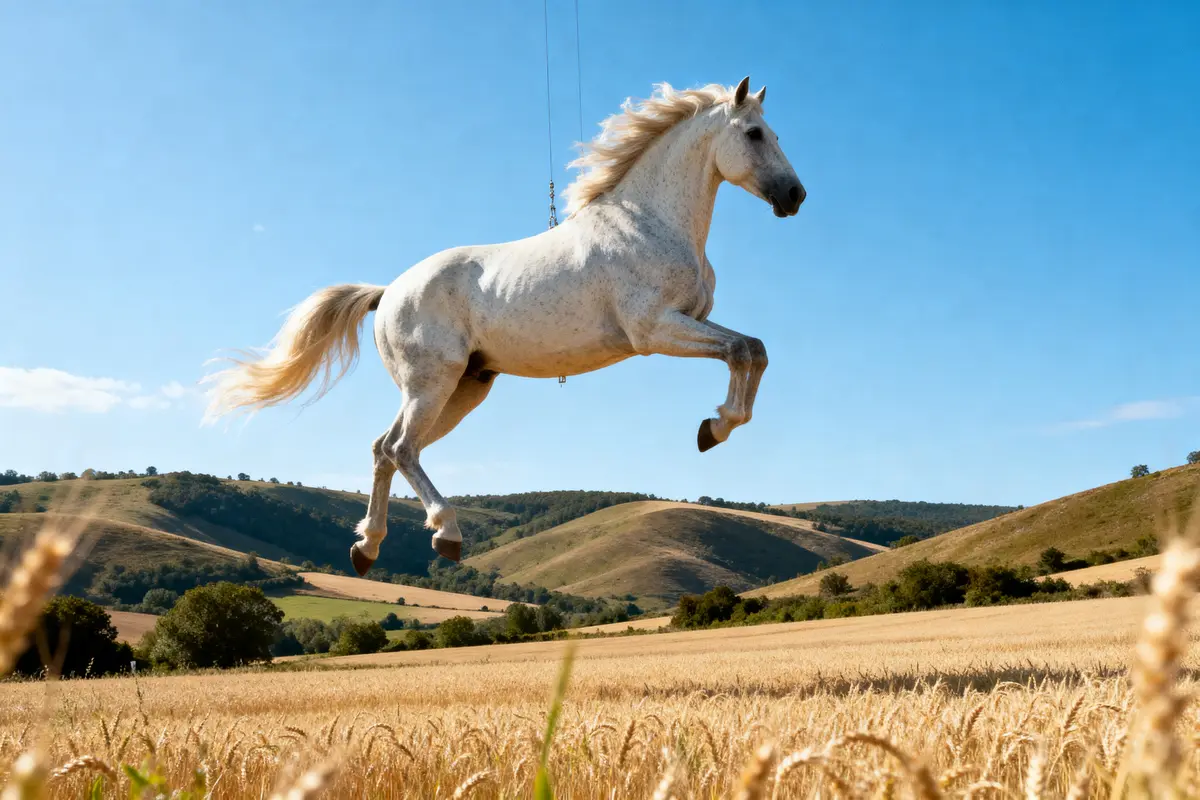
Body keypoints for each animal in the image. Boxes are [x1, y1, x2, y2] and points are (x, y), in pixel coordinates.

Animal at [204, 76, 805, 575]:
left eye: (774, 132)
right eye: (754, 133)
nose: (795, 196)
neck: (650, 223)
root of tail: (389, 291)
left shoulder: (690, 322)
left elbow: (752, 349)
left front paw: (714, 428)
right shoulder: (654, 331)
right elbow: (743, 350)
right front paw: (716, 427)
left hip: (463, 389)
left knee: (384, 449)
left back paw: (367, 548)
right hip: (432, 384)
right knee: (400, 449)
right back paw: (445, 533)